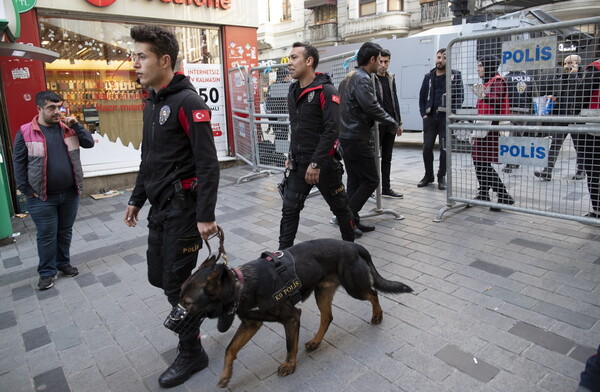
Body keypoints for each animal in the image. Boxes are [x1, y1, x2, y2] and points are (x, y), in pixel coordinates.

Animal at [177, 237, 412, 388]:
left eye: (187, 303)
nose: (172, 323)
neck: (242, 285)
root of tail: (353, 245)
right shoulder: (251, 324)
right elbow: (230, 349)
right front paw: (226, 375)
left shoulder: (291, 318)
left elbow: (290, 345)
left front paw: (290, 365)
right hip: (322, 293)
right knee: (328, 317)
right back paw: (316, 342)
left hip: (354, 287)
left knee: (373, 293)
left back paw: (377, 315)